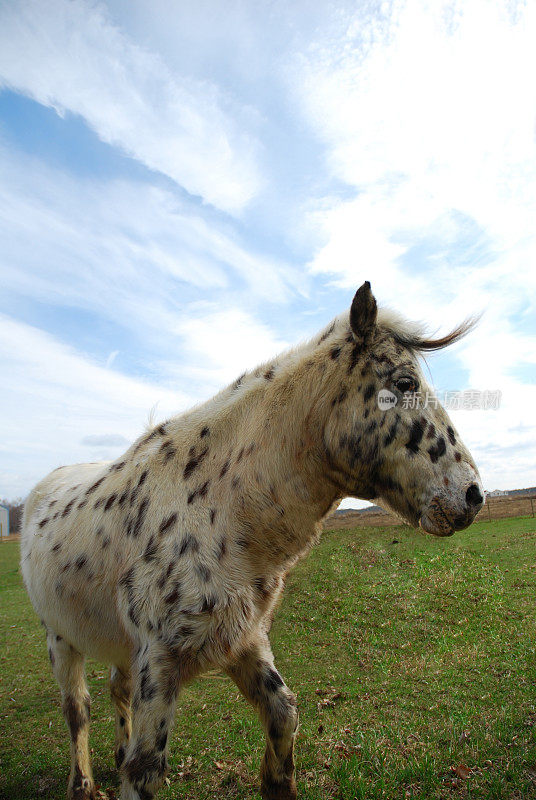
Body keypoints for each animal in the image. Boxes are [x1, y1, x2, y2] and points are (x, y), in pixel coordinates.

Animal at [21, 282, 484, 800]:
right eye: (404, 383)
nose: (473, 495)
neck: (220, 513)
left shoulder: (243, 639)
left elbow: (284, 715)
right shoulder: (159, 663)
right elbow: (144, 769)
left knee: (116, 692)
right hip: (60, 638)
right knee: (77, 710)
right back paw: (82, 783)